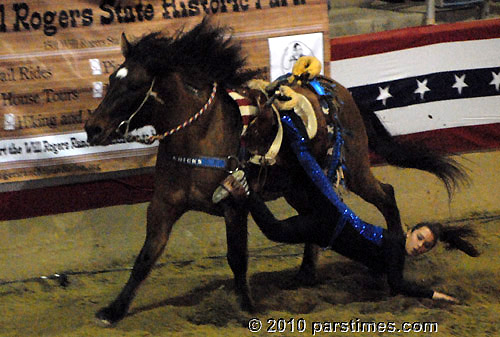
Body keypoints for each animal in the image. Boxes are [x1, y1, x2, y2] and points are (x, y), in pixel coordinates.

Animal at [84, 18, 466, 322]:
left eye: (135, 85)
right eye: (110, 78)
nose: (92, 128)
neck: (200, 137)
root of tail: (341, 92)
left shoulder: (234, 206)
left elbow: (237, 256)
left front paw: (247, 307)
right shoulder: (163, 205)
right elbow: (145, 257)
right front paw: (113, 311)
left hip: (355, 169)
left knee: (386, 195)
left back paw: (393, 250)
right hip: (301, 187)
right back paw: (305, 274)